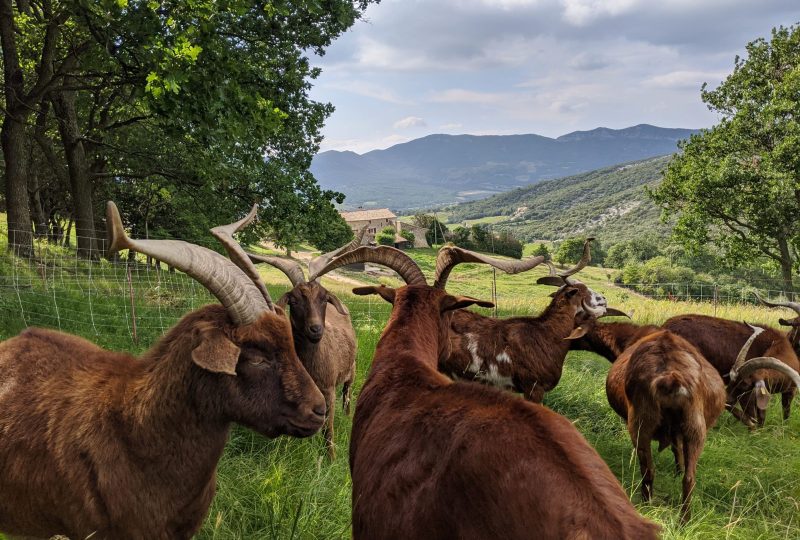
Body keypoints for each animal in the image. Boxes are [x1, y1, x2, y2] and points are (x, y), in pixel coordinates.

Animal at [664, 312, 800, 426]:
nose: (725, 398)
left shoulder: (788, 390)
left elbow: (780, 413)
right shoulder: (749, 394)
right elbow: (753, 414)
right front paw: (753, 429)